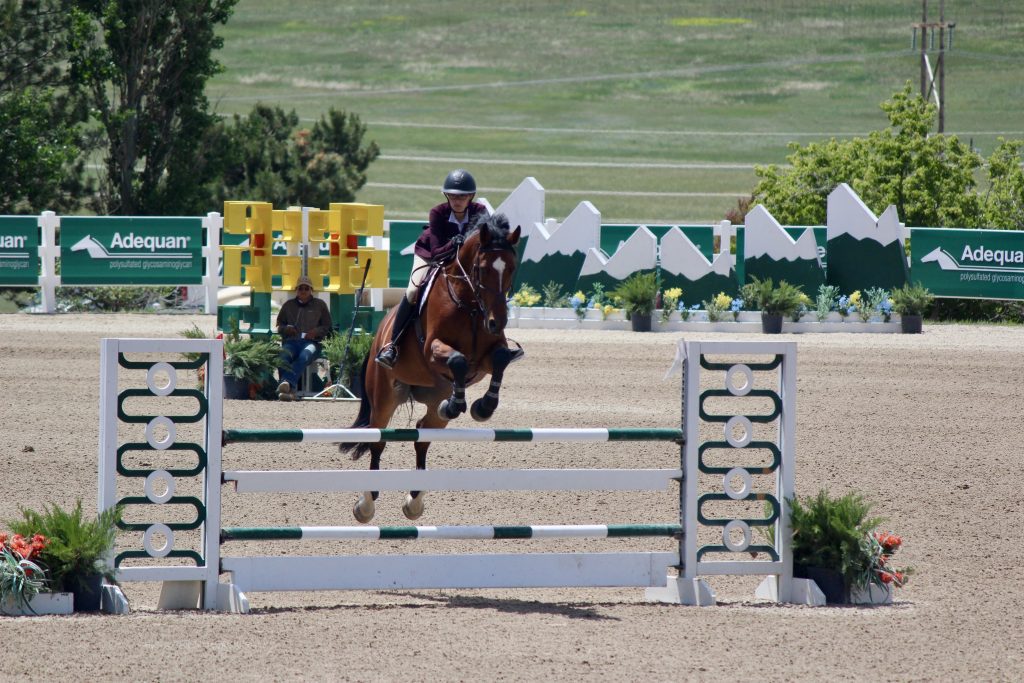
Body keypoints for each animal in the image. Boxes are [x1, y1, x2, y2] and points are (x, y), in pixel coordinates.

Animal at [338, 213, 522, 523]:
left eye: (511, 267)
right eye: (482, 269)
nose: (497, 321)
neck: (470, 304)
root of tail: (376, 337)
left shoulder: (488, 356)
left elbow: (499, 359)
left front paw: (483, 407)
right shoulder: (433, 348)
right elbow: (458, 359)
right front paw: (463, 404)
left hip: (433, 401)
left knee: (423, 434)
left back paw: (414, 500)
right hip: (384, 396)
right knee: (378, 439)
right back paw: (366, 504)